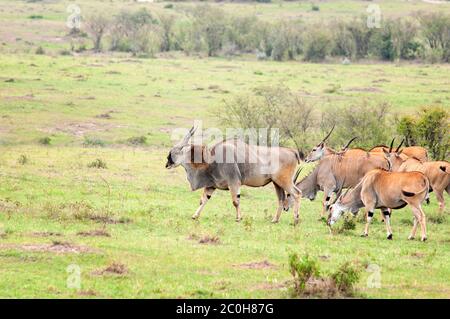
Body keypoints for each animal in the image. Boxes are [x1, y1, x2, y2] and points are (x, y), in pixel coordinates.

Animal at [167, 127, 304, 225]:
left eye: (175, 152)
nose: (167, 164)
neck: (211, 159)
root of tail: (292, 151)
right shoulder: (211, 186)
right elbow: (203, 200)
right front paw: (195, 216)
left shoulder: (234, 183)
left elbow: (235, 201)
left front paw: (238, 218)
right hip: (277, 183)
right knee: (281, 199)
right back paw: (275, 220)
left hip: (284, 181)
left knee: (297, 193)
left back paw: (296, 219)